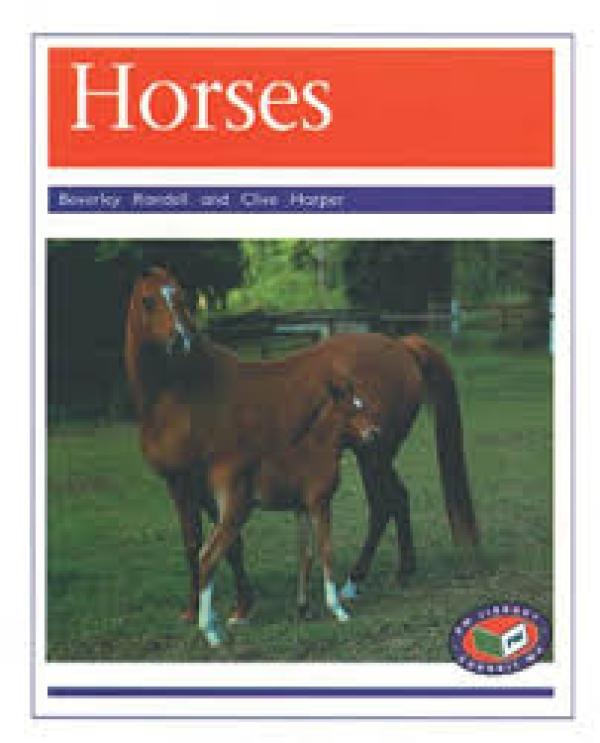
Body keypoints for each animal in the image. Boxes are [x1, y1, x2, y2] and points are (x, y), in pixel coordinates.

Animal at [125, 267, 479, 645]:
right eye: (148, 300)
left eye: (181, 298)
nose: (180, 341)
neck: (182, 392)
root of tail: (400, 346)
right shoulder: (180, 483)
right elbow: (196, 543)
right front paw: (198, 610)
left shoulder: (199, 483)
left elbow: (223, 545)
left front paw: (239, 608)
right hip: (373, 453)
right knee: (394, 501)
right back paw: (389, 574)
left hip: (374, 454)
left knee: (387, 502)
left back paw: (362, 580)